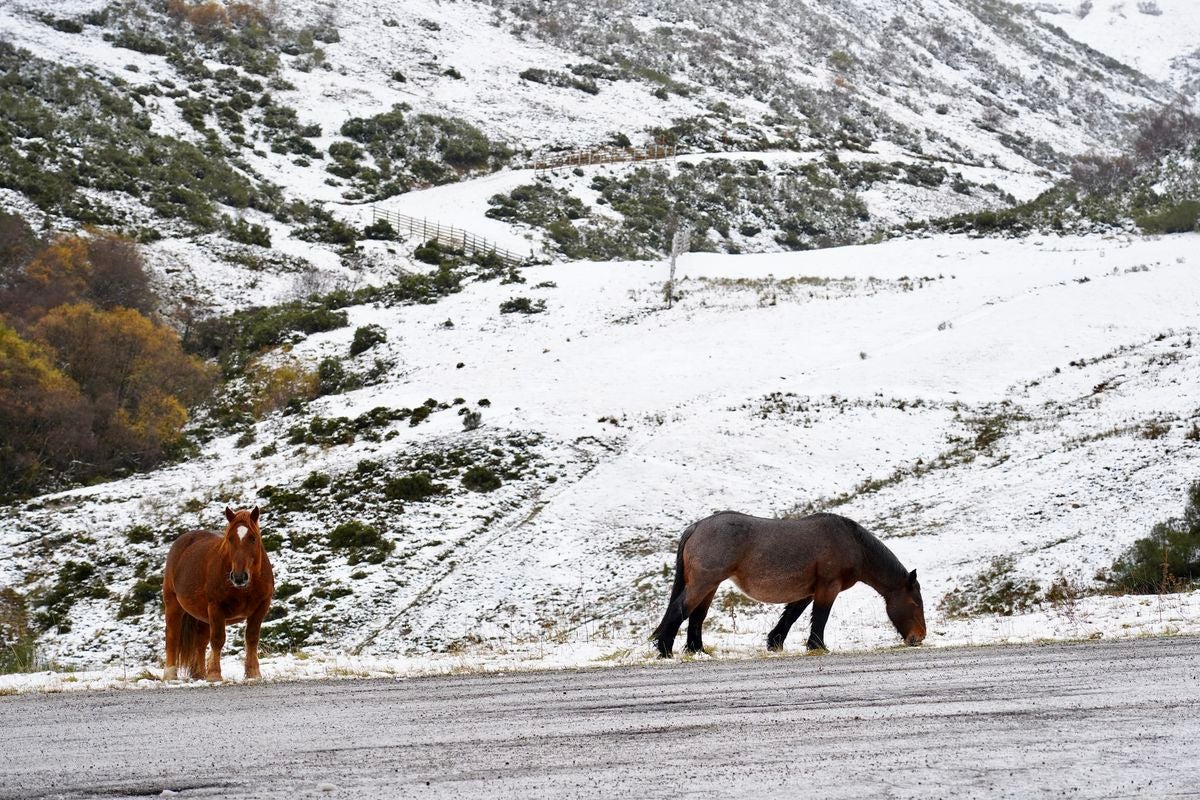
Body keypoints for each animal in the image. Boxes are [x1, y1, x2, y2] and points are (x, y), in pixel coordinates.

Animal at [162, 506, 274, 681]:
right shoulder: (216, 607)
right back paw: (170, 675)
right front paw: (214, 674)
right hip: (173, 604)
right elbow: (217, 639)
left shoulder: (262, 606)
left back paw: (199, 674)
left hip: (202, 616)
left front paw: (253, 672)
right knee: (172, 636)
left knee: (200, 642)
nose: (239, 577)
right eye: (230, 538)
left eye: (253, 538)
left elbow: (252, 638)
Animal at [651, 511, 925, 657]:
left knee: (697, 616)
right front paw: (818, 646)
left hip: (710, 585)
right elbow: (820, 617)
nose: (919, 637)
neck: (853, 544)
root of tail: (696, 527)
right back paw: (665, 650)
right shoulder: (828, 587)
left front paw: (775, 643)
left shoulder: (809, 589)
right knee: (680, 610)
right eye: (915, 604)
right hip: (704, 582)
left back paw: (697, 651)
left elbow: (792, 615)